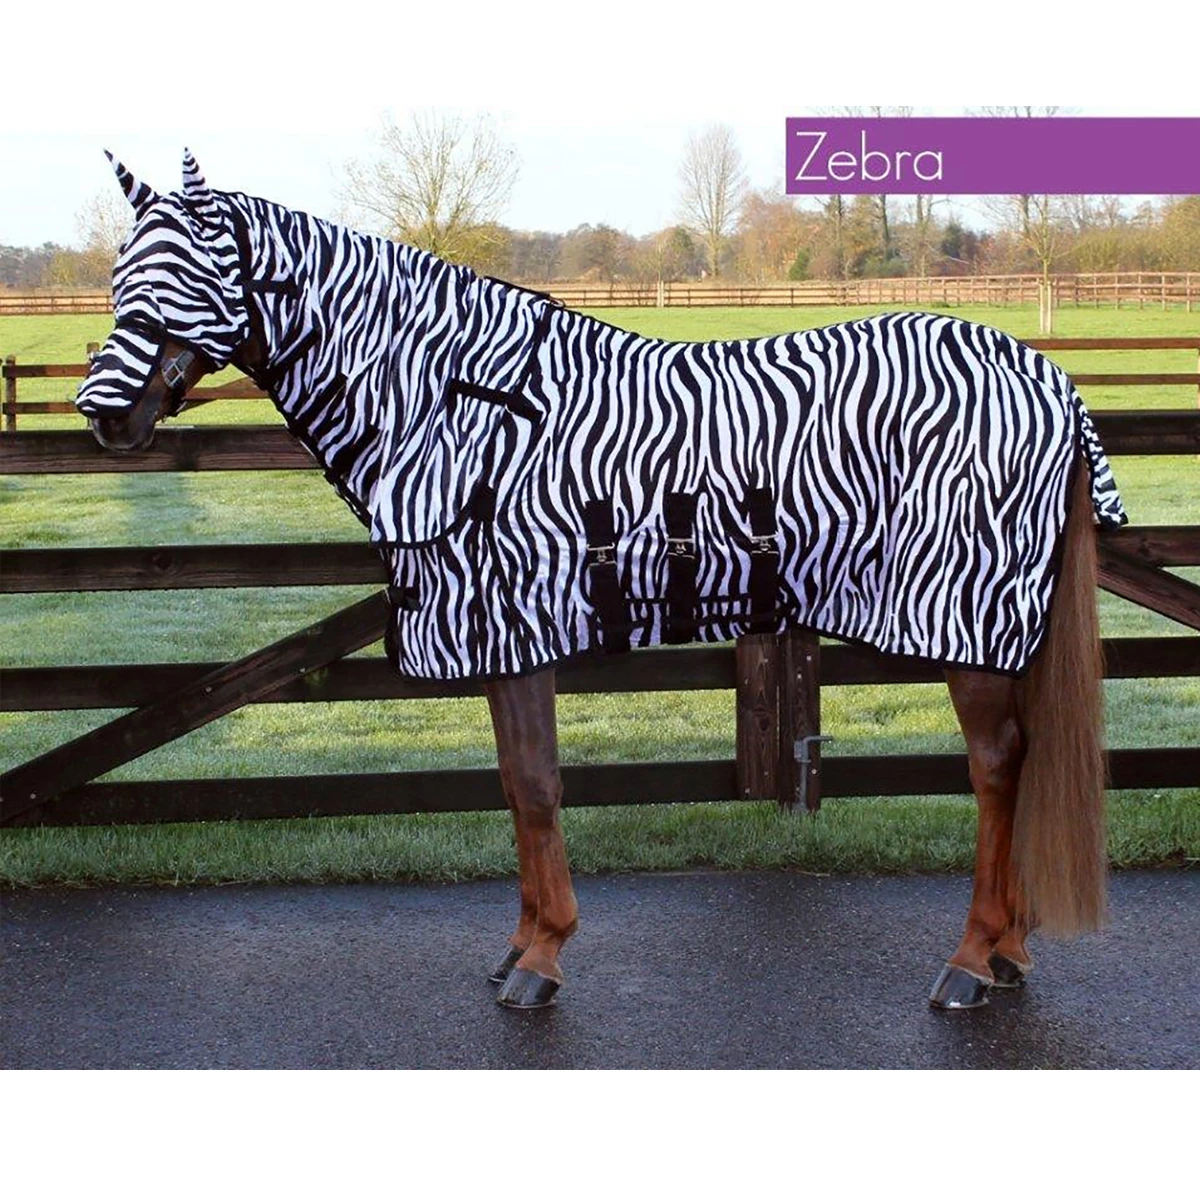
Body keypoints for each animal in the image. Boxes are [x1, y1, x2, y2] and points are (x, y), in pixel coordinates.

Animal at [76, 150, 1124, 1011]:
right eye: (122, 278)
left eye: (182, 275)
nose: (105, 415)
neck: (457, 408)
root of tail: (1046, 375)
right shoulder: (498, 637)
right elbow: (515, 784)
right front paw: (523, 944)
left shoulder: (513, 625)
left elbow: (538, 787)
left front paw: (542, 960)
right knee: (1022, 764)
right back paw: (1009, 954)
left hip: (970, 623)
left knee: (999, 768)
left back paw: (973, 960)